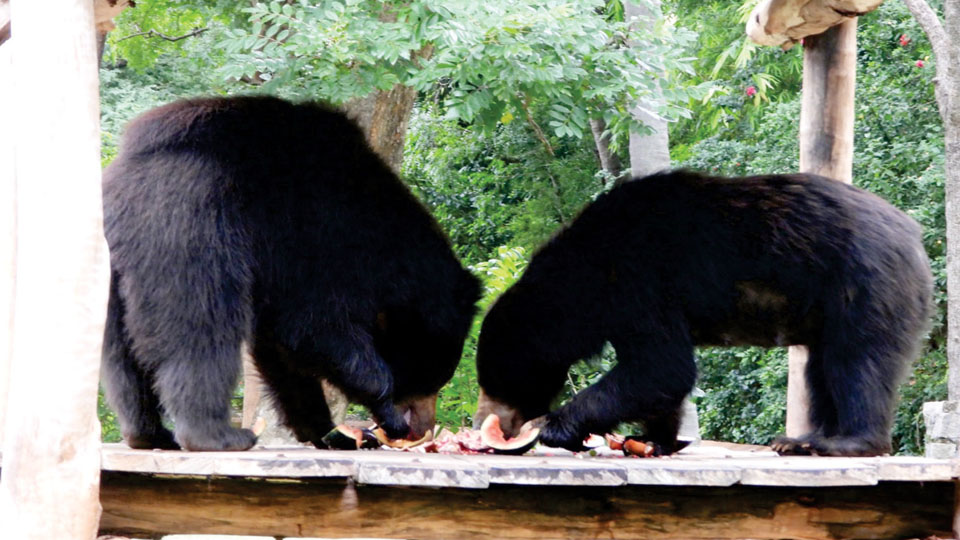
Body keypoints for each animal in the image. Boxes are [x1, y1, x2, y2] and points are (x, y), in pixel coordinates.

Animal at [101, 96, 480, 452]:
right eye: (426, 381)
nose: (421, 429)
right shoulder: (316, 238)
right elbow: (315, 327)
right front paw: (383, 413)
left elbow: (283, 352)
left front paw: (326, 431)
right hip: (192, 229)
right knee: (202, 330)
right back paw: (219, 436)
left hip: (112, 267)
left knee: (121, 359)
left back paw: (148, 434)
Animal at [476, 171, 932, 458]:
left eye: (498, 381)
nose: (488, 425)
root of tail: (914, 234)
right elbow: (658, 374)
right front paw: (656, 439)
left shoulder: (638, 279)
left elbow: (661, 366)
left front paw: (559, 426)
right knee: (820, 370)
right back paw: (803, 439)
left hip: (865, 283)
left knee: (856, 360)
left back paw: (845, 441)